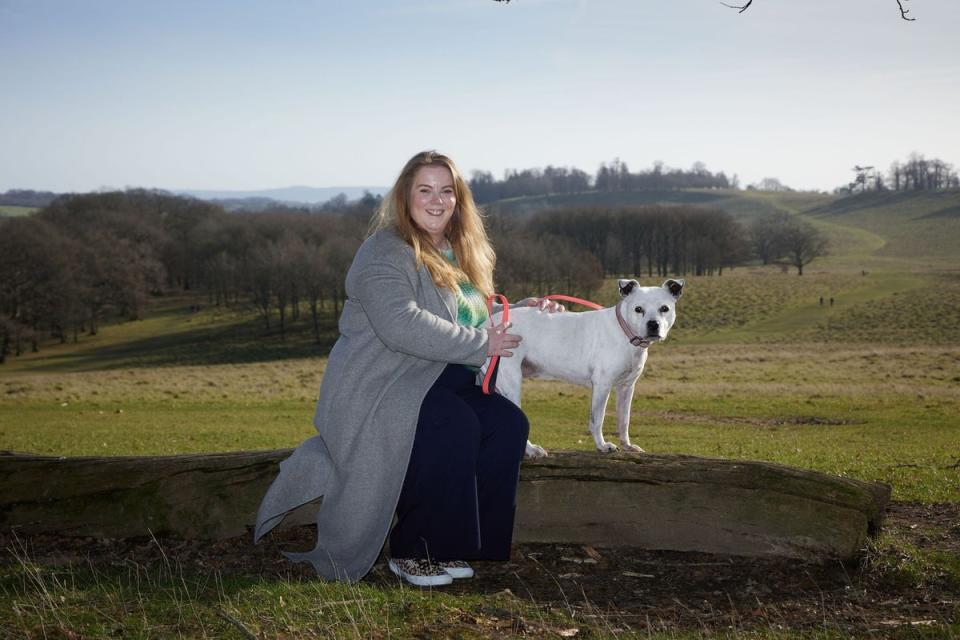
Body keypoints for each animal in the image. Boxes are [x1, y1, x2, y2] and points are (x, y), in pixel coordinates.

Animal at [488, 278, 684, 456]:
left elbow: (624, 420)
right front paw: (603, 446)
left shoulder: (627, 387)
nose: (653, 325)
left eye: (664, 308)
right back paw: (531, 450)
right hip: (512, 382)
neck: (625, 333)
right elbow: (597, 419)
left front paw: (627, 445)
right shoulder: (602, 384)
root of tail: (489, 326)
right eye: (638, 309)